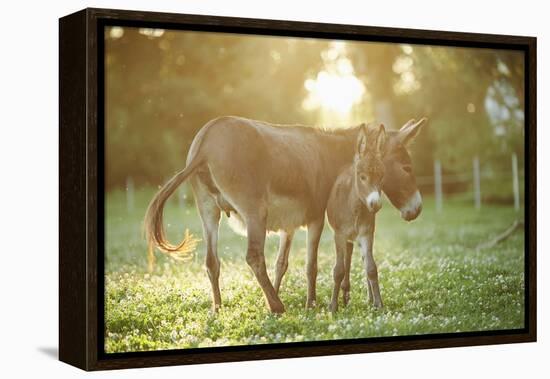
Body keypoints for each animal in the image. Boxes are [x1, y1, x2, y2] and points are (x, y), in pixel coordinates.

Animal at [328, 123, 388, 314]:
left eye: (382, 176)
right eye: (362, 176)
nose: (375, 205)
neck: (354, 207)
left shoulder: (366, 234)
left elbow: (371, 268)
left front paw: (378, 303)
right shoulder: (339, 235)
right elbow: (338, 270)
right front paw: (333, 306)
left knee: (361, 259)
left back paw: (368, 298)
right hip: (345, 237)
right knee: (346, 259)